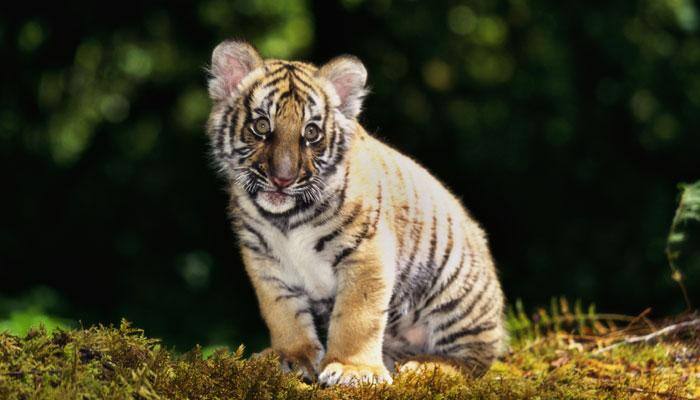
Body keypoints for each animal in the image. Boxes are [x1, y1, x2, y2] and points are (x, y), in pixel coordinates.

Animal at [205, 40, 506, 386]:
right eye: (261, 126)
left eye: (311, 133)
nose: (283, 178)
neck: (286, 219)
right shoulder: (264, 260)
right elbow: (282, 311)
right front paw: (290, 357)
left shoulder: (366, 254)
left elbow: (356, 316)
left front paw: (353, 369)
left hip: (455, 290)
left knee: (475, 361)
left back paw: (425, 367)